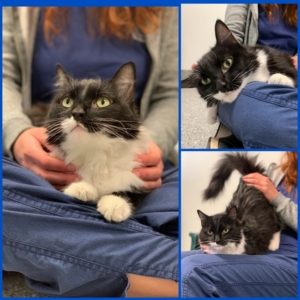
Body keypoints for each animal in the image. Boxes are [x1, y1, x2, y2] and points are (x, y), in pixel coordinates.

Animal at [44, 62, 150, 223]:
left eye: (102, 102)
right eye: (67, 101)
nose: (77, 113)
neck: (94, 152)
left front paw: (115, 203)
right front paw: (81, 187)